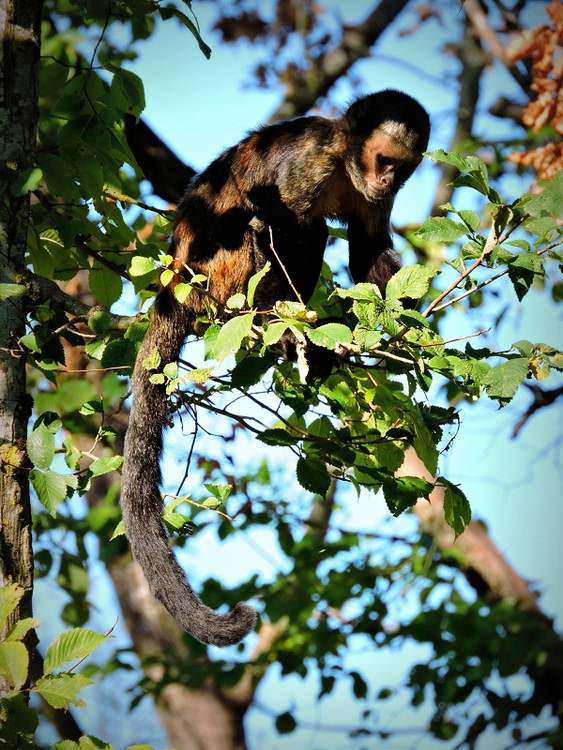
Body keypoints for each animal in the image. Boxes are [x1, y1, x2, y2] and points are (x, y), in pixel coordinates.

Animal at [122, 91, 432, 648]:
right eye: (383, 160)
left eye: (401, 169)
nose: (385, 180)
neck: (347, 167)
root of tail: (175, 276)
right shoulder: (311, 161)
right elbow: (278, 209)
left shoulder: (376, 201)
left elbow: (368, 251)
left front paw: (408, 321)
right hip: (219, 272)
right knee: (280, 225)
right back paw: (275, 320)